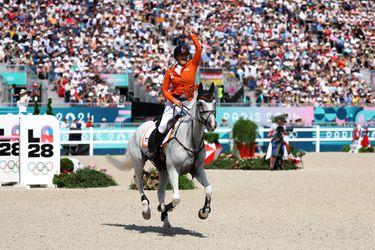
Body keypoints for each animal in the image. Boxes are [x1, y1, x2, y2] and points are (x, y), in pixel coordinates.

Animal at [110, 83, 217, 228]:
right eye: (200, 103)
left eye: (214, 102)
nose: (212, 125)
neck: (190, 139)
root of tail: (139, 127)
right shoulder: (173, 170)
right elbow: (176, 198)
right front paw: (164, 208)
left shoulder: (198, 169)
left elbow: (209, 189)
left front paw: (204, 212)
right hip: (139, 162)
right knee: (139, 182)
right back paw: (146, 210)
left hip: (163, 170)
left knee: (160, 191)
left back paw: (165, 220)